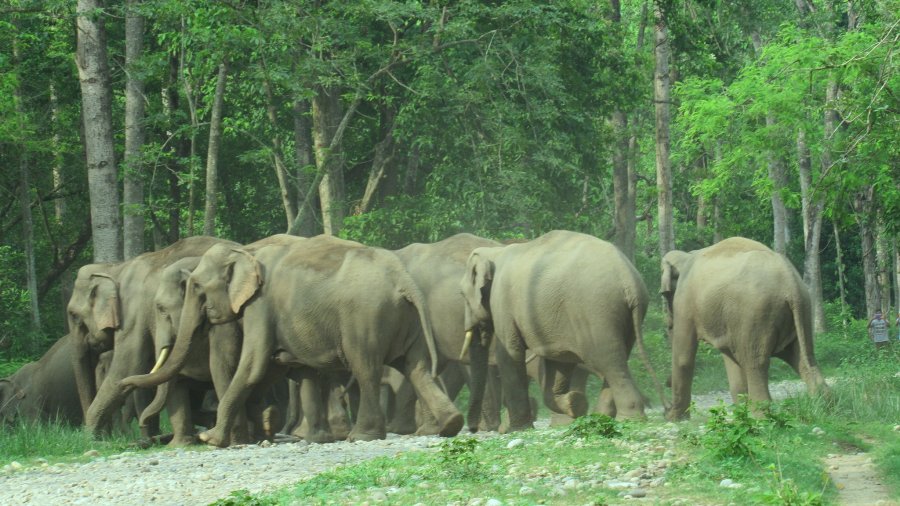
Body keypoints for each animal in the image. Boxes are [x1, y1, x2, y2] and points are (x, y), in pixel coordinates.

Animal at [68, 235, 234, 436]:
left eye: (74, 315)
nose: (100, 436)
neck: (115, 268)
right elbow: (146, 370)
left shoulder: (133, 314)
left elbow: (128, 366)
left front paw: (89, 437)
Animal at [123, 234, 464, 446]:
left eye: (197, 288)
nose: (126, 384)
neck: (247, 251)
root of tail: (403, 279)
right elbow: (287, 368)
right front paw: (281, 432)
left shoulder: (260, 305)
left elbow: (253, 364)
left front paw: (214, 440)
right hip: (407, 320)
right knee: (416, 367)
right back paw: (451, 425)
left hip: (364, 317)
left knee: (366, 367)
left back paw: (362, 436)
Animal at [460, 229, 656, 430]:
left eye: (463, 294)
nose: (473, 429)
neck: (494, 252)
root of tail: (629, 279)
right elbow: (559, 361)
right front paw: (575, 403)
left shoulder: (502, 301)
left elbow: (510, 353)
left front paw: (517, 429)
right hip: (624, 319)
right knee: (617, 359)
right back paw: (603, 417)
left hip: (597, 314)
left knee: (608, 361)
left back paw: (628, 419)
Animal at [660, 237, 828, 420]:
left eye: (665, 295)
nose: (665, 410)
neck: (686, 256)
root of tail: (791, 282)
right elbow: (730, 357)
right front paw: (741, 412)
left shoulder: (685, 302)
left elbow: (683, 358)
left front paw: (674, 418)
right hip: (802, 310)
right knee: (804, 357)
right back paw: (823, 406)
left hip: (756, 314)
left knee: (755, 363)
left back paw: (761, 416)